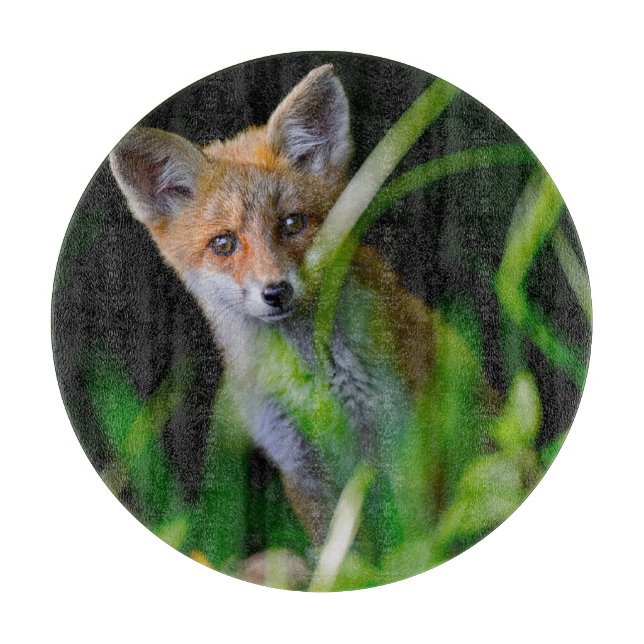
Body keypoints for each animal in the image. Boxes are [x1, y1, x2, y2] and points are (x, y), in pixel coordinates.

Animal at [110, 65, 434, 545]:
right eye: (224, 243)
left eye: (292, 223)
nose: (276, 292)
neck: (312, 380)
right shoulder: (299, 466)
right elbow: (341, 556)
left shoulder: (400, 437)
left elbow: (414, 541)